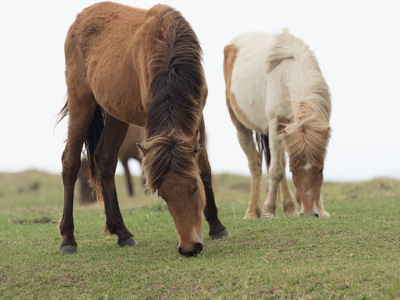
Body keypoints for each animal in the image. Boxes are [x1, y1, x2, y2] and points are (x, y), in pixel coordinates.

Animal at [57, 1, 230, 258]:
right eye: (162, 194)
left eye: (194, 188)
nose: (189, 248)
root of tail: (79, 20)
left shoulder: (198, 114)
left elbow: (205, 169)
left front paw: (218, 227)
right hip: (81, 104)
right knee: (70, 163)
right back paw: (68, 239)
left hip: (116, 115)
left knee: (105, 160)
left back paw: (122, 233)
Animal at [225, 29, 332, 218]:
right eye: (293, 172)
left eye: (321, 169)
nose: (309, 213)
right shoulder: (276, 125)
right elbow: (277, 171)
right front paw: (269, 210)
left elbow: (281, 167)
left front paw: (322, 211)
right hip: (242, 127)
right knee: (256, 165)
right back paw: (253, 212)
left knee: (278, 161)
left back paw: (290, 209)